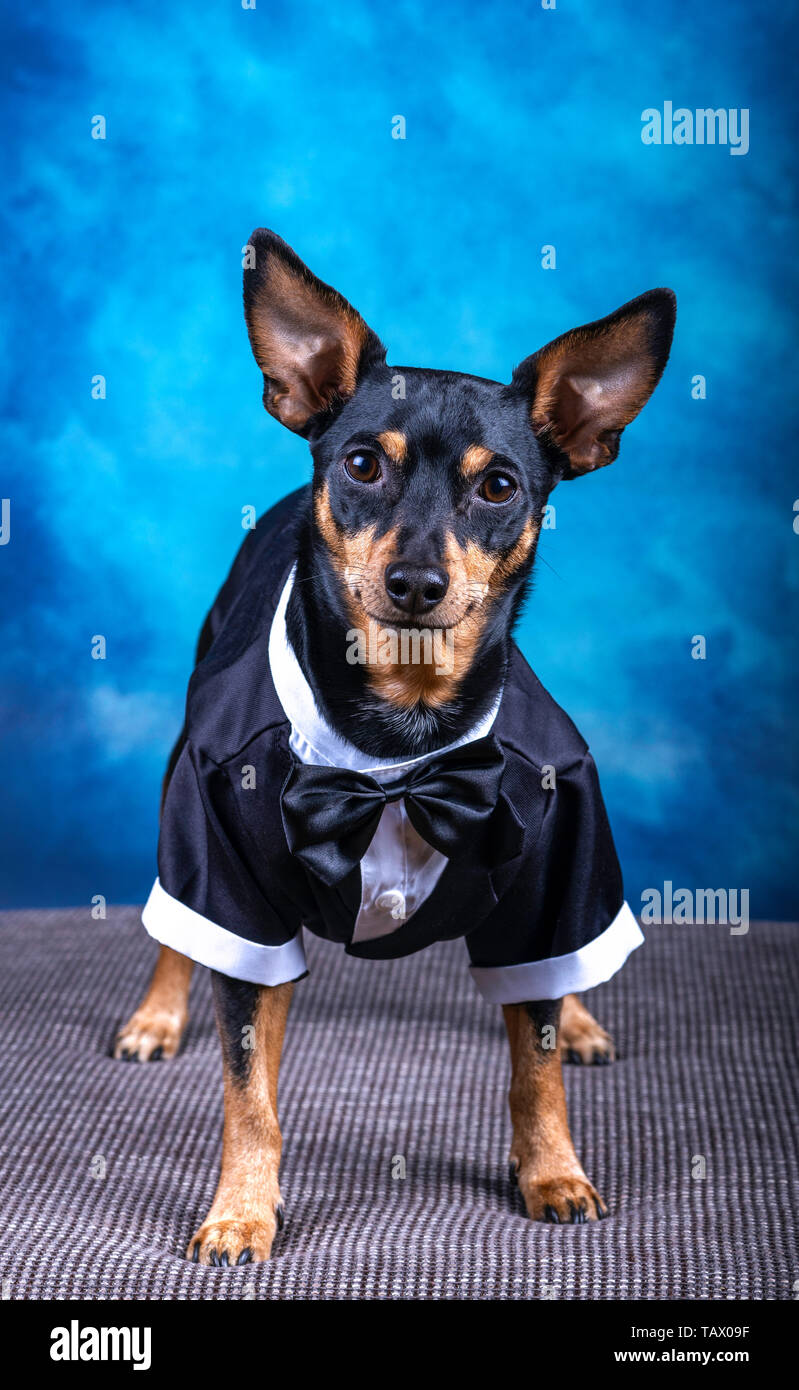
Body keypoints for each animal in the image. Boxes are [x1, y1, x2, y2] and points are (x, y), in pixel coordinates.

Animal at [112, 233, 675, 1267]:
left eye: (499, 487)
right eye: (365, 465)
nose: (415, 581)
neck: (401, 745)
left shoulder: (556, 848)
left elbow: (533, 1065)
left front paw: (553, 1174)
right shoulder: (227, 858)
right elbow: (249, 1090)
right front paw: (241, 1210)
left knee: (569, 963)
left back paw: (581, 1016)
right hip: (181, 775)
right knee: (189, 941)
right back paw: (160, 1015)